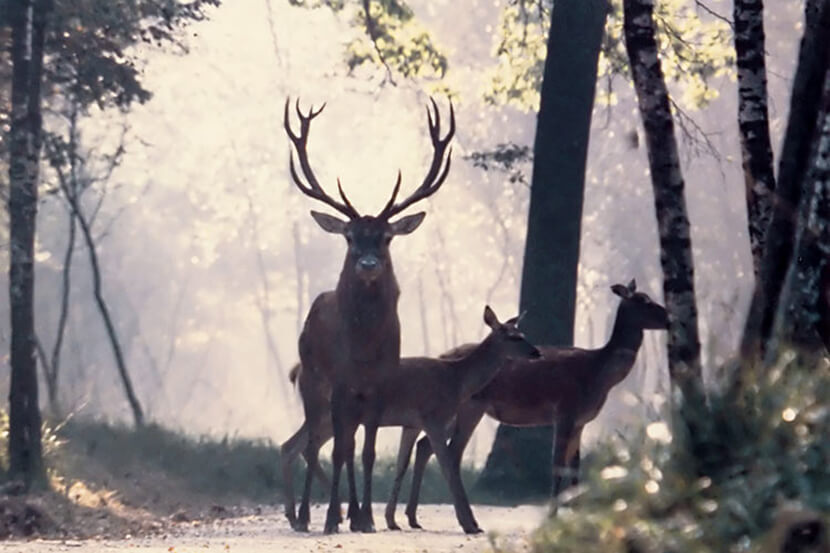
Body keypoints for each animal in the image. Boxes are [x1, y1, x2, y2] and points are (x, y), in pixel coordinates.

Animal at [284, 97, 456, 532]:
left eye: (387, 237)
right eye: (349, 236)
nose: (367, 264)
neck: (362, 351)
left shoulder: (379, 387)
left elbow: (368, 453)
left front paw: (365, 518)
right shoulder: (341, 384)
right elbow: (342, 451)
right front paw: (334, 516)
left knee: (336, 444)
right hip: (313, 380)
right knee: (315, 443)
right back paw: (307, 515)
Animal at [286, 304, 544, 532]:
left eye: (522, 333)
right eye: (513, 337)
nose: (536, 352)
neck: (456, 380)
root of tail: (298, 371)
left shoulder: (412, 424)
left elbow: (402, 462)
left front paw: (392, 520)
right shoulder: (434, 418)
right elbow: (448, 466)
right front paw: (469, 524)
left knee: (303, 446)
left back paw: (313, 516)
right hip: (327, 412)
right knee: (309, 446)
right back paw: (314, 517)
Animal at [388, 280, 668, 532]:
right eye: (643, 300)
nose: (668, 318)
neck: (598, 374)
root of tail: (442, 355)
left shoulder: (581, 421)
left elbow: (576, 468)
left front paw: (577, 514)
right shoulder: (565, 410)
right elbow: (557, 464)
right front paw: (553, 515)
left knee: (426, 446)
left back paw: (413, 517)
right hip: (469, 406)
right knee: (450, 452)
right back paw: (460, 521)